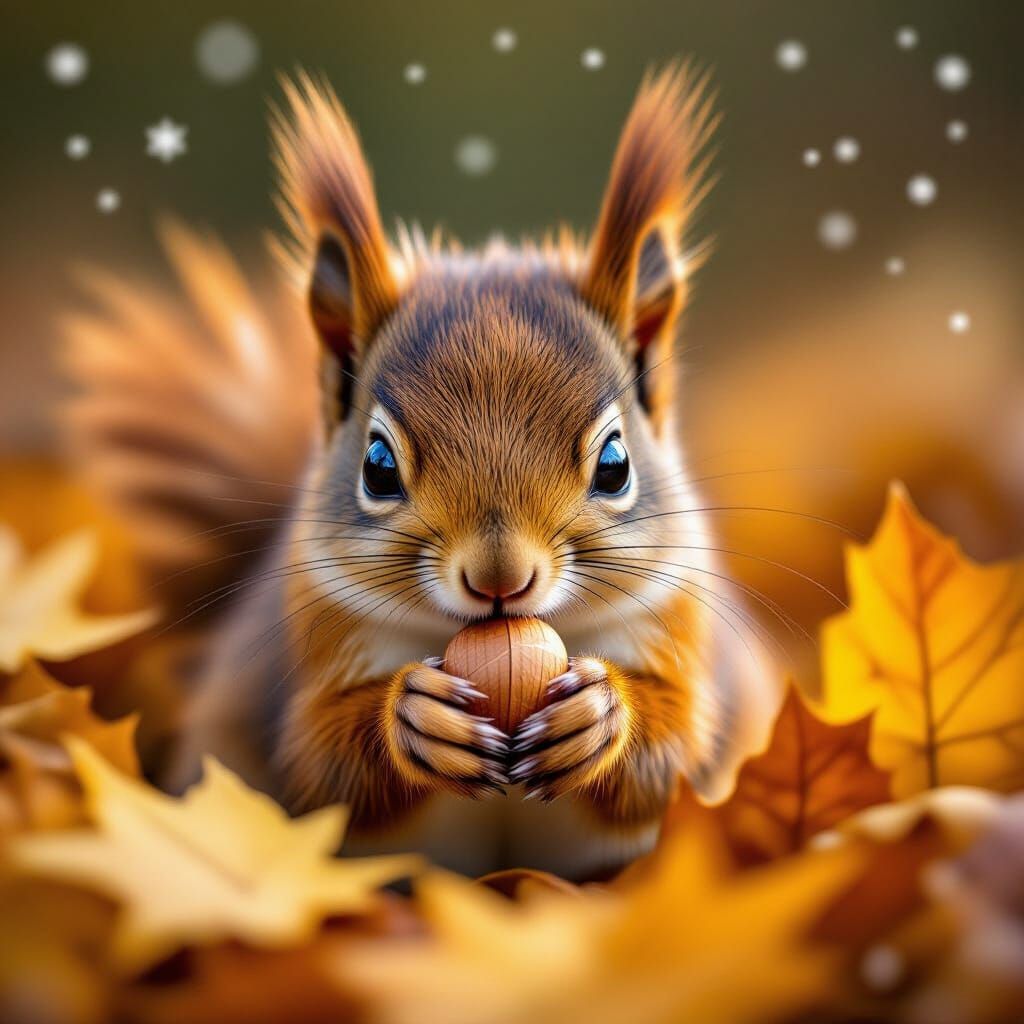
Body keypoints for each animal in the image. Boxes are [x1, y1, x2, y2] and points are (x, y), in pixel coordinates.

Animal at [63, 63, 777, 880]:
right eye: (377, 466)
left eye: (615, 464)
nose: (500, 580)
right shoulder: (309, 654)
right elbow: (322, 756)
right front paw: (413, 718)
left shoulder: (683, 633)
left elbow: (678, 743)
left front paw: (601, 714)